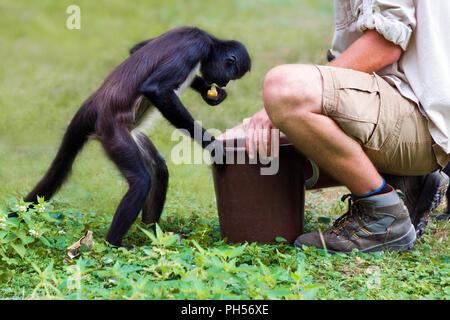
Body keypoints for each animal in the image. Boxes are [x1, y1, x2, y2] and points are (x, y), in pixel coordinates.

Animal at [14, 27, 251, 248]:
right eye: (230, 76)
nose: (225, 84)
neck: (209, 41)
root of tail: (95, 103)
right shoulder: (195, 46)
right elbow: (156, 89)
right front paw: (213, 147)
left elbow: (136, 48)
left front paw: (205, 91)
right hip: (113, 132)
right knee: (141, 180)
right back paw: (114, 243)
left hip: (131, 133)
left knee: (158, 170)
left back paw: (153, 235)